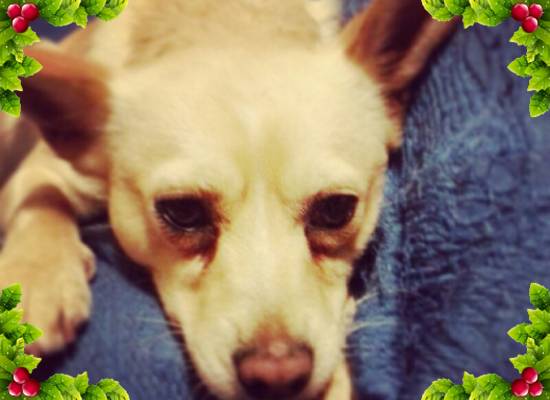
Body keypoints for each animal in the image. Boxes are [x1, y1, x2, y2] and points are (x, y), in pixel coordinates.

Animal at [0, 1, 454, 398]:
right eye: (183, 212)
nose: (277, 375)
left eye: (336, 210)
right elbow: (39, 201)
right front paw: (38, 277)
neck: (225, 19)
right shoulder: (44, 172)